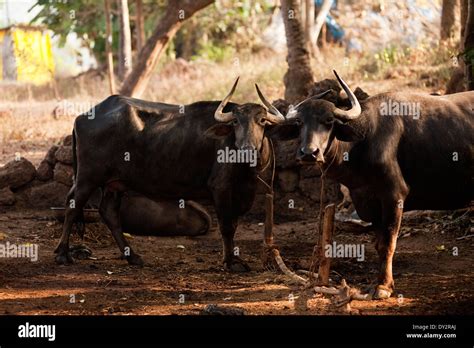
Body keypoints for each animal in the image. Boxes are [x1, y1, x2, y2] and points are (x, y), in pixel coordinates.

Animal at [55, 79, 286, 272]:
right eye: (236, 122)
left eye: (262, 121)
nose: (247, 149)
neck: (245, 169)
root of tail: (82, 117)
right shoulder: (221, 188)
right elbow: (227, 226)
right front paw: (231, 262)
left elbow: (234, 224)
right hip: (88, 177)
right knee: (72, 204)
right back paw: (62, 254)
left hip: (115, 184)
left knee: (108, 212)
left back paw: (133, 257)